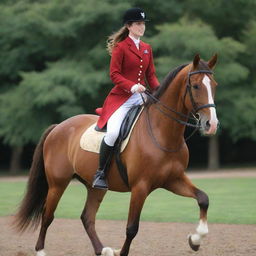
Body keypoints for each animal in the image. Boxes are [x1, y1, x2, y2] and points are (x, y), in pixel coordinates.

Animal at [14, 54, 218, 256]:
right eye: (196, 86)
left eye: (214, 85)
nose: (212, 124)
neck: (162, 133)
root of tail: (58, 127)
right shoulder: (140, 187)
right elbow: (132, 228)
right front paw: (122, 251)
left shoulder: (173, 180)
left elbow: (203, 199)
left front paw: (196, 239)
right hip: (58, 184)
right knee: (47, 214)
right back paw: (41, 250)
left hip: (95, 187)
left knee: (87, 217)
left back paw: (101, 250)